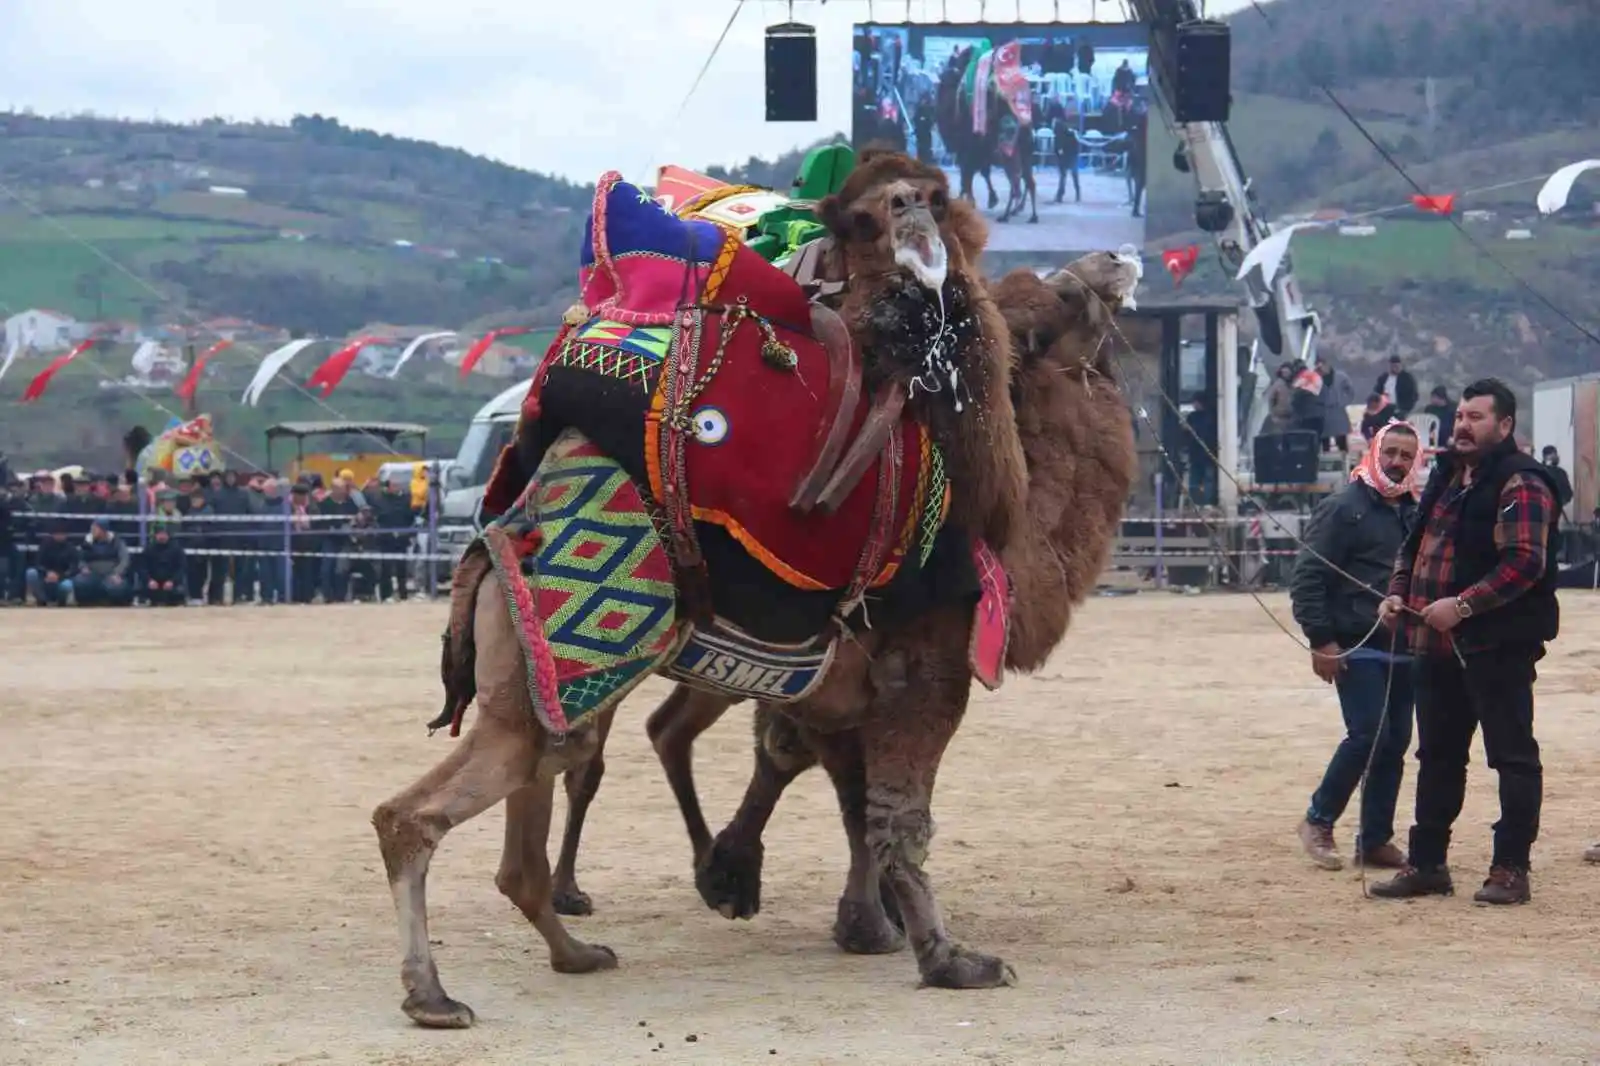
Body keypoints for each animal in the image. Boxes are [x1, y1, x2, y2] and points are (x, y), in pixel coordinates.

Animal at [368, 149, 1030, 1024]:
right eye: (873, 213)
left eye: (933, 196)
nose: (912, 213)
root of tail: (489, 546)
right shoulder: (929, 664)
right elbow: (900, 816)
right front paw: (952, 959)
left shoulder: (838, 688)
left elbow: (860, 803)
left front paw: (791, 897)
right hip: (556, 672)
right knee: (413, 815)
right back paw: (433, 994)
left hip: (541, 687)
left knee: (524, 836)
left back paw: (575, 953)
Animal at [544, 249, 1145, 941]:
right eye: (1058, 306)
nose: (1109, 260)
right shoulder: (877, 662)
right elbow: (843, 782)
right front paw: (867, 919)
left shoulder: (827, 674)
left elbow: (812, 766)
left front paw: (755, 877)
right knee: (586, 757)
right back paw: (567, 891)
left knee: (662, 731)